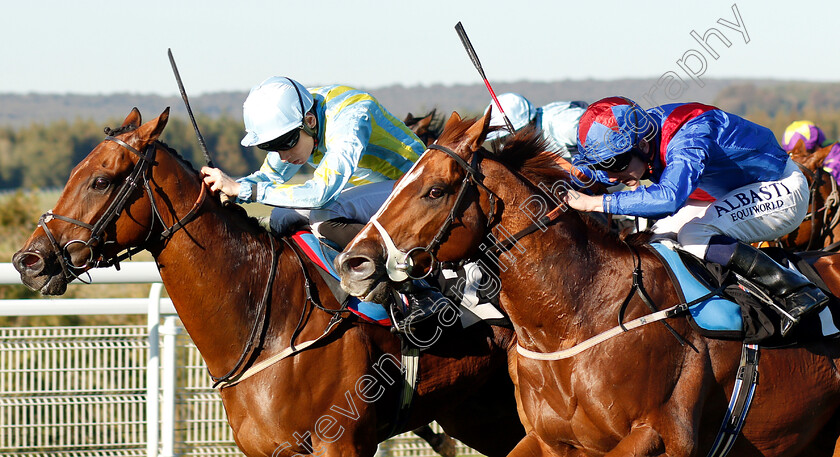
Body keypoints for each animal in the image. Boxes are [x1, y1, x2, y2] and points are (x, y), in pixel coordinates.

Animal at [9, 108, 524, 456]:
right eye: (72, 172)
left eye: (100, 180)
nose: (28, 260)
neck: (271, 314)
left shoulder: (344, 442)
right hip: (482, 412)